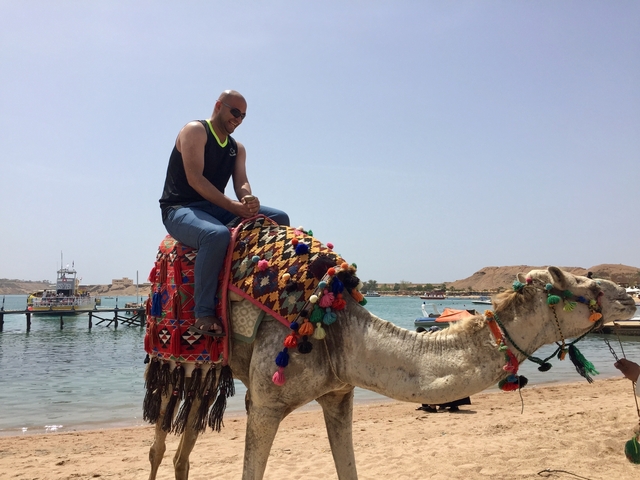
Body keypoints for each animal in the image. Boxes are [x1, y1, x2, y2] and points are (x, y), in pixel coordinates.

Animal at [146, 266, 636, 479]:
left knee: (185, 445)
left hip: (210, 368)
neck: (338, 331)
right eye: (581, 284)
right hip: (175, 356)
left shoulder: (339, 394)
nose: (626, 298)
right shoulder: (265, 402)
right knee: (158, 445)